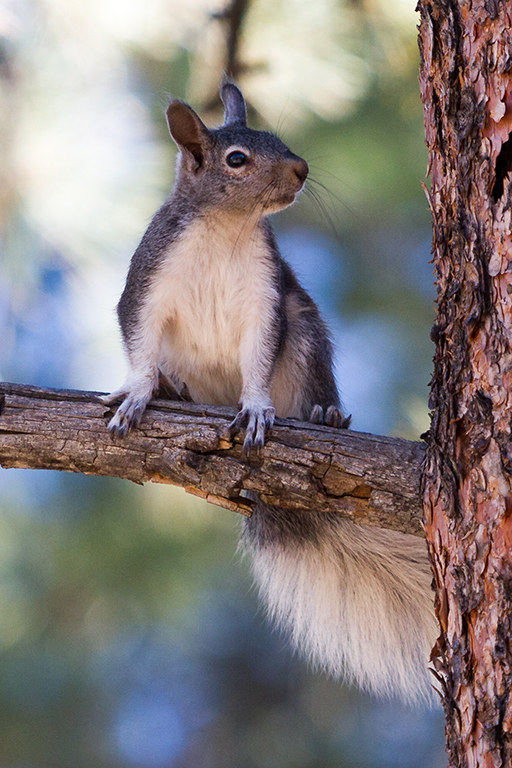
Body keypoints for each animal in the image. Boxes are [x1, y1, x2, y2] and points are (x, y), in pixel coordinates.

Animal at [102, 81, 438, 704]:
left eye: (279, 141)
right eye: (237, 160)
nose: (302, 168)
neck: (225, 228)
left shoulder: (266, 297)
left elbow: (258, 356)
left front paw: (257, 408)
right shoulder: (147, 283)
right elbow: (138, 340)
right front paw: (139, 392)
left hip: (304, 333)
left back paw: (325, 416)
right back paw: (172, 389)